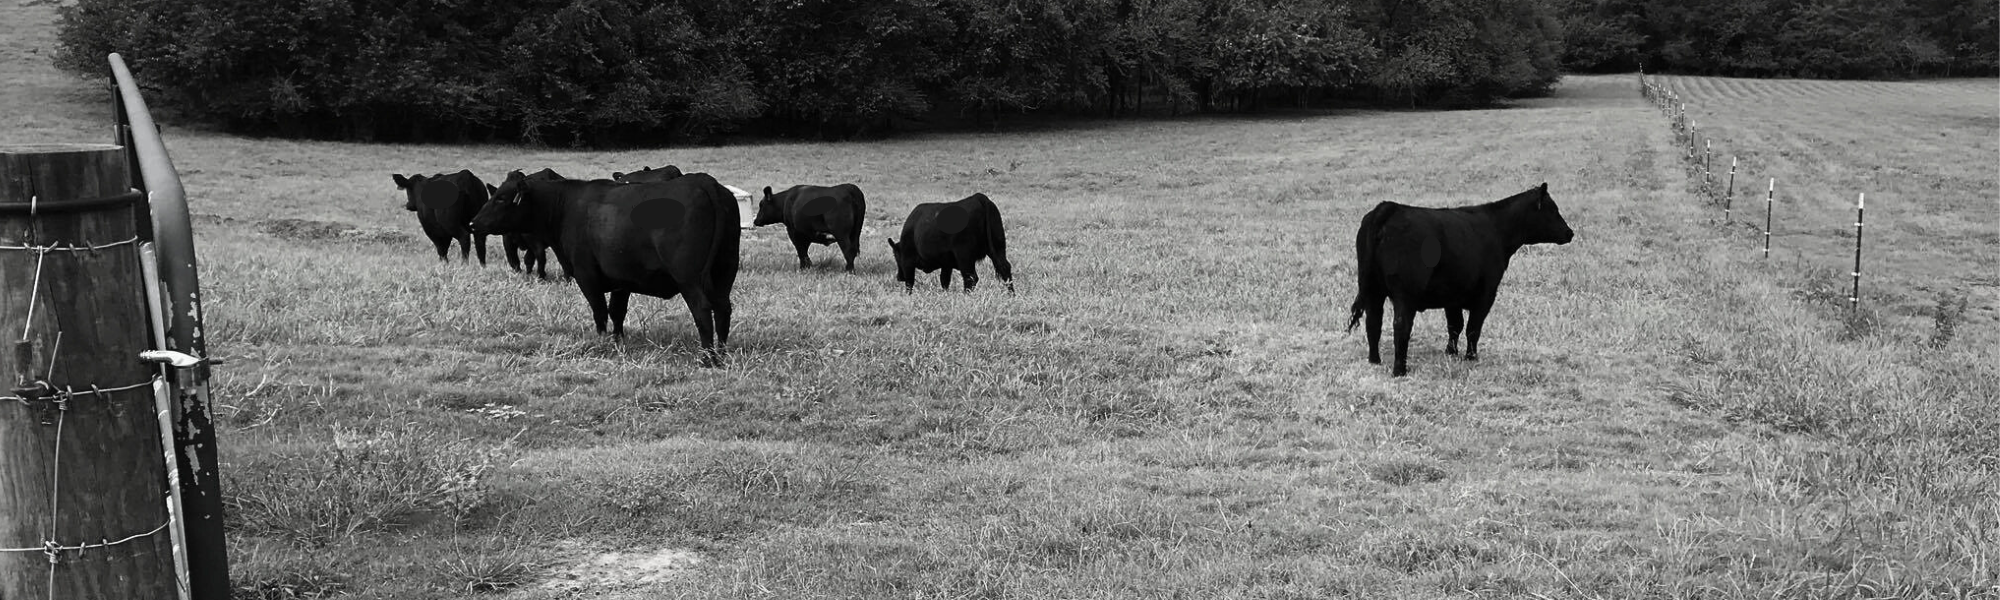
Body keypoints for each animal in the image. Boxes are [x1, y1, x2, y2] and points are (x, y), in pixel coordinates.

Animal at [464, 169, 740, 366]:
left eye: (501, 198)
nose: (473, 223)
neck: (566, 206)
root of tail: (705, 182)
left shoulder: (586, 275)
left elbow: (599, 311)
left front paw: (602, 342)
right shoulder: (622, 279)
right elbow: (617, 311)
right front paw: (618, 341)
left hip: (689, 277)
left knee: (703, 310)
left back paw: (708, 358)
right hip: (725, 269)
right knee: (723, 308)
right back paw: (722, 352)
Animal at [1352, 183, 1568, 378]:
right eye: (1553, 209)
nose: (1570, 232)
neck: (1496, 228)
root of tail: (1389, 208)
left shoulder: (1452, 294)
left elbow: (1455, 325)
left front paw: (1451, 352)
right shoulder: (1486, 292)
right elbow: (1473, 327)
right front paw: (1471, 357)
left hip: (1372, 289)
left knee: (1373, 322)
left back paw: (1374, 360)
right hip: (1405, 295)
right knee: (1401, 326)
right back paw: (1399, 370)